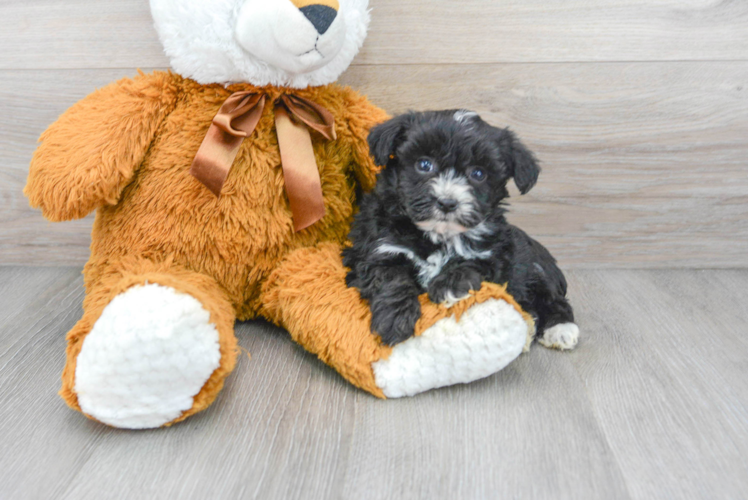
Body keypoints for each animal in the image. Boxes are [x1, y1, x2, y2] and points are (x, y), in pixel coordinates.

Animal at [342, 111, 580, 350]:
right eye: (424, 164)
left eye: (478, 173)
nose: (447, 203)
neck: (438, 235)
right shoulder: (379, 248)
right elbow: (391, 278)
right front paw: (395, 320)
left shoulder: (495, 254)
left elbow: (471, 263)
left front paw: (448, 285)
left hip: (534, 269)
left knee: (552, 299)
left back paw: (560, 329)